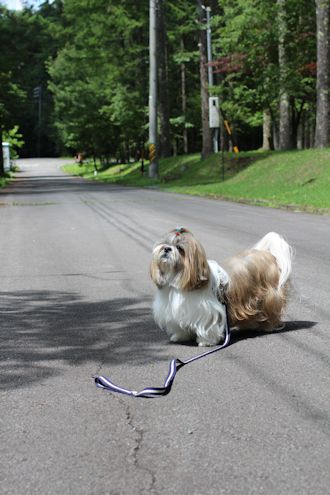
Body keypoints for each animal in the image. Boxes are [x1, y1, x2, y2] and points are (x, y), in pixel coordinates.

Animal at [150, 228, 292, 346]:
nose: (166, 249)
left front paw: (206, 342)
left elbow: (208, 327)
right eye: (164, 243)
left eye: (179, 248)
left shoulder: (209, 311)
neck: (178, 280)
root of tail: (268, 255)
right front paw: (180, 336)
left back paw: (269, 326)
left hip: (269, 298)